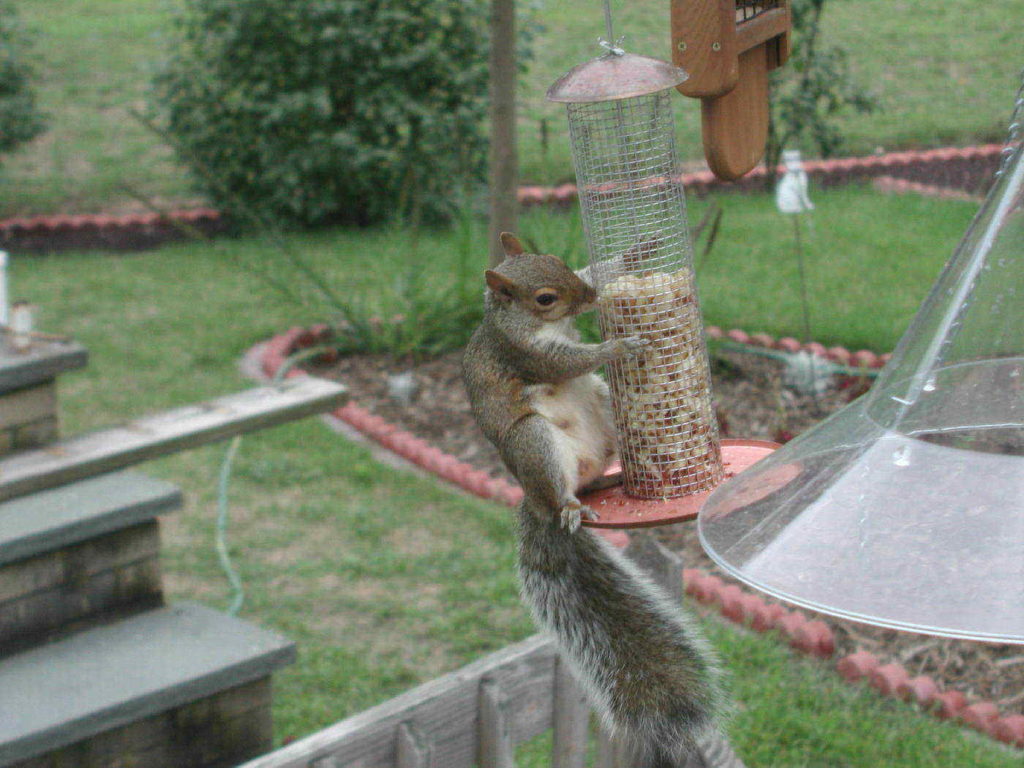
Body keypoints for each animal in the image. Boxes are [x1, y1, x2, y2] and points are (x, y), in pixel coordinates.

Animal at [462, 233, 722, 767]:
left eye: (560, 263)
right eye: (545, 297)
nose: (589, 298)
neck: (523, 320)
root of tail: (537, 503)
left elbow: (598, 270)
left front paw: (634, 254)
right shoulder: (525, 353)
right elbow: (570, 361)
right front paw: (621, 344)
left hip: (601, 405)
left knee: (592, 471)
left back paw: (615, 478)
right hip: (536, 443)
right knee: (562, 490)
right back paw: (572, 507)